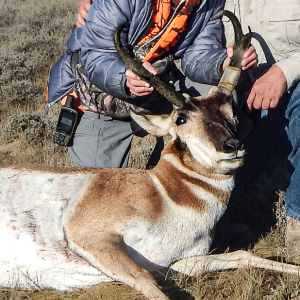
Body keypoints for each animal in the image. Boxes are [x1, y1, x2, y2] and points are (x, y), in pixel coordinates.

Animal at [1, 10, 298, 300]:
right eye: (180, 119)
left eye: (231, 113)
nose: (232, 145)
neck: (163, 191)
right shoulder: (90, 236)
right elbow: (147, 282)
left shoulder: (176, 264)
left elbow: (243, 254)